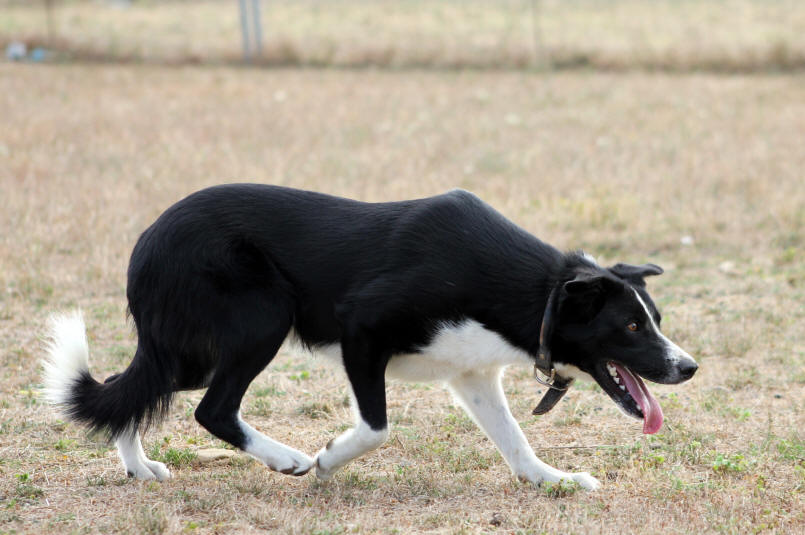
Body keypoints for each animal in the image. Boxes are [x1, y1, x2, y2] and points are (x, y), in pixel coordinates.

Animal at [44, 186, 696, 492]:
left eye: (656, 318)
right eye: (631, 326)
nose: (688, 367)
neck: (537, 292)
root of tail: (146, 243)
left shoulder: (472, 374)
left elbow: (515, 442)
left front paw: (552, 481)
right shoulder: (361, 329)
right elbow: (377, 427)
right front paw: (328, 459)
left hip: (195, 351)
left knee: (136, 390)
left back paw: (138, 466)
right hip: (263, 319)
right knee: (211, 409)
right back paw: (286, 458)